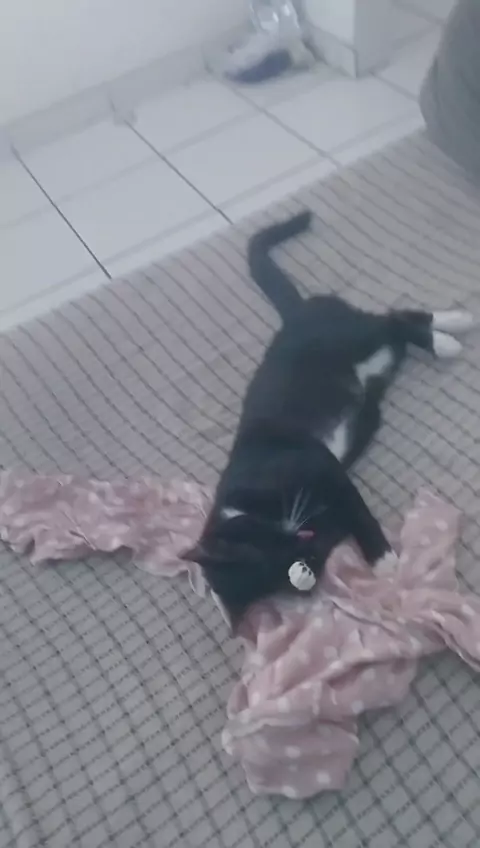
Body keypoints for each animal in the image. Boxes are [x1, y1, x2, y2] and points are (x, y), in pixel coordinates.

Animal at [182, 210, 473, 626]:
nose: (301, 543)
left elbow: (359, 511)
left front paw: (383, 560)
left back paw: (454, 330)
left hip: (350, 335)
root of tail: (296, 314)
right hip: (380, 358)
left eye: (260, 549)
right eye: (293, 568)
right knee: (397, 330)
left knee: (393, 317)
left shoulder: (319, 464)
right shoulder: (327, 508)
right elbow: (346, 512)